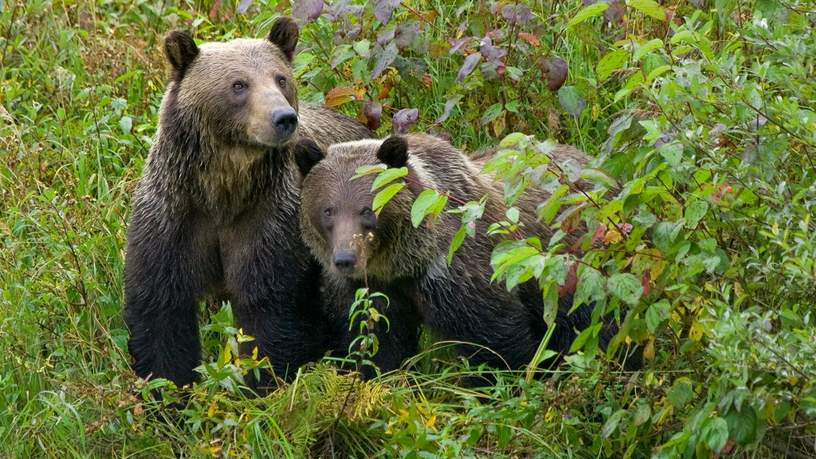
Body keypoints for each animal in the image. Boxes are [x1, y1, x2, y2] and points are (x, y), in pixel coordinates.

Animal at [122, 18, 372, 392]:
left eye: (280, 78)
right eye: (238, 84)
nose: (283, 117)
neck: (223, 190)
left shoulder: (271, 217)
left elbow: (268, 306)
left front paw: (261, 381)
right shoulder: (174, 213)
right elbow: (161, 304)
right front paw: (168, 386)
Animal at [294, 134, 612, 378]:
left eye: (367, 210)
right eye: (328, 210)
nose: (345, 259)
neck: (404, 265)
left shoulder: (458, 270)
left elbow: (493, 340)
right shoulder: (372, 291)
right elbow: (378, 344)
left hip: (574, 269)